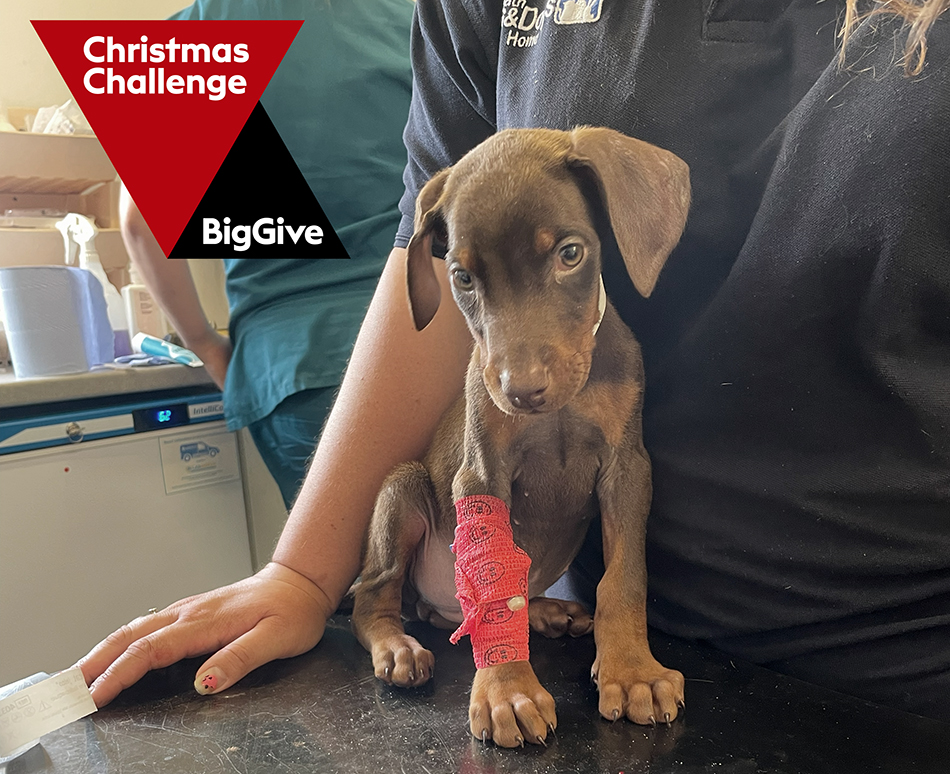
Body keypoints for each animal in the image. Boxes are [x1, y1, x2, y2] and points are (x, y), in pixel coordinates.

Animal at [354, 129, 688, 752]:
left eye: (570, 254)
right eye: (462, 278)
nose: (522, 391)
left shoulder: (627, 468)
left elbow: (624, 577)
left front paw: (633, 670)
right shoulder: (482, 473)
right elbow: (493, 592)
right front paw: (508, 690)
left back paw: (545, 612)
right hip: (402, 493)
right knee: (375, 594)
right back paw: (398, 646)